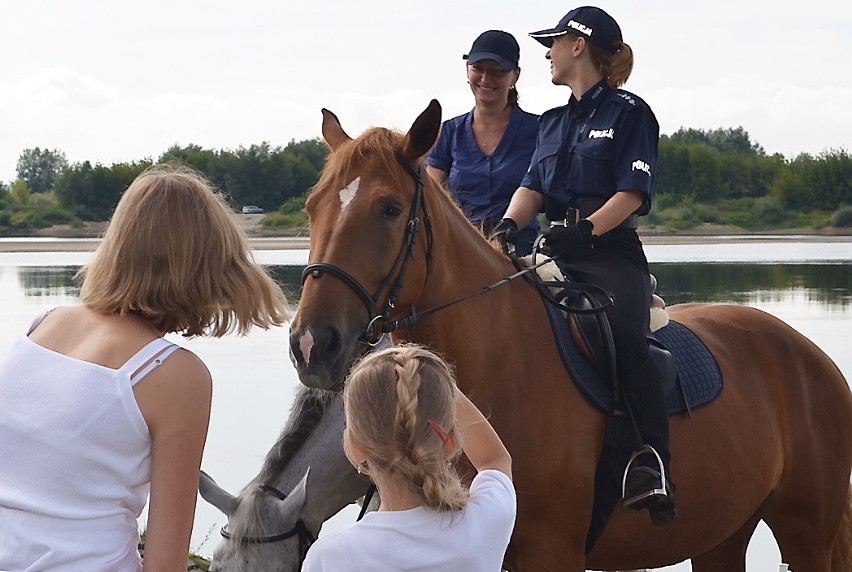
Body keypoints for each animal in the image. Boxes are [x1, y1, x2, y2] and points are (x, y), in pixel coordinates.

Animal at [288, 100, 852, 568]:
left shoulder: (550, 551)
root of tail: (814, 357)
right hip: (722, 536)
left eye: (389, 208)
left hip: (808, 536)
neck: (504, 361)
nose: (312, 344)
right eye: (312, 207)